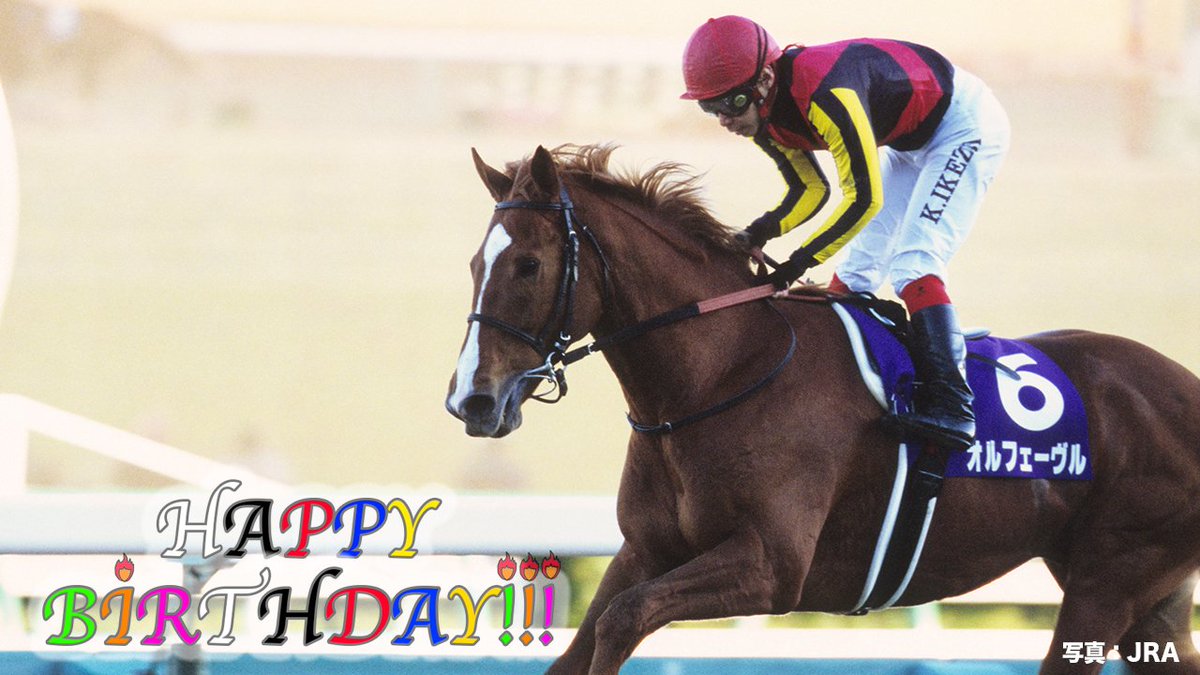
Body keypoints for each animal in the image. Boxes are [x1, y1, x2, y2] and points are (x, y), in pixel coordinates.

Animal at [445, 143, 1200, 674]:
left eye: (529, 266)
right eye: (475, 265)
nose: (472, 400)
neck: (720, 372)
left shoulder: (772, 565)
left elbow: (623, 620)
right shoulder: (647, 549)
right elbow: (588, 639)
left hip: (1110, 580)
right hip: (1147, 597)